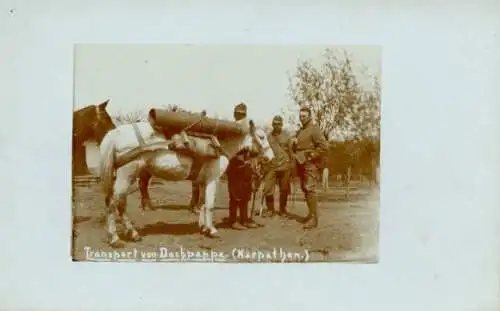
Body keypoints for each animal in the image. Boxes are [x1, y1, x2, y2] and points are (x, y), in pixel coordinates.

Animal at [98, 115, 274, 249]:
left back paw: (132, 233)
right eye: (262, 137)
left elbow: (202, 204)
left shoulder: (202, 181)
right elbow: (210, 205)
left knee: (120, 204)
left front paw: (203, 227)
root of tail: (116, 133)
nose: (271, 158)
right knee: (113, 204)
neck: (219, 144)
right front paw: (212, 230)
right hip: (127, 175)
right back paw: (115, 238)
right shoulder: (213, 179)